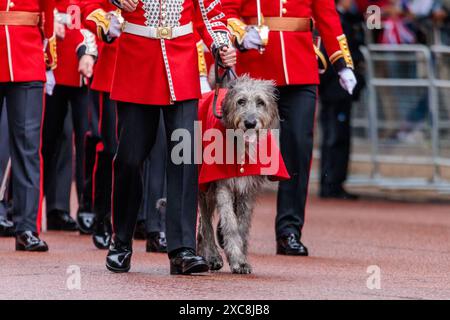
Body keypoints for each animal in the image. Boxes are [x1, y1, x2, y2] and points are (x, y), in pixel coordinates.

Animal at [199, 74, 280, 274]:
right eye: (241, 101)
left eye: (260, 102)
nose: (250, 123)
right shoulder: (222, 185)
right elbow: (230, 223)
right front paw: (237, 260)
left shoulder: (248, 190)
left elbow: (242, 224)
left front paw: (242, 258)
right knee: (205, 223)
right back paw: (211, 255)